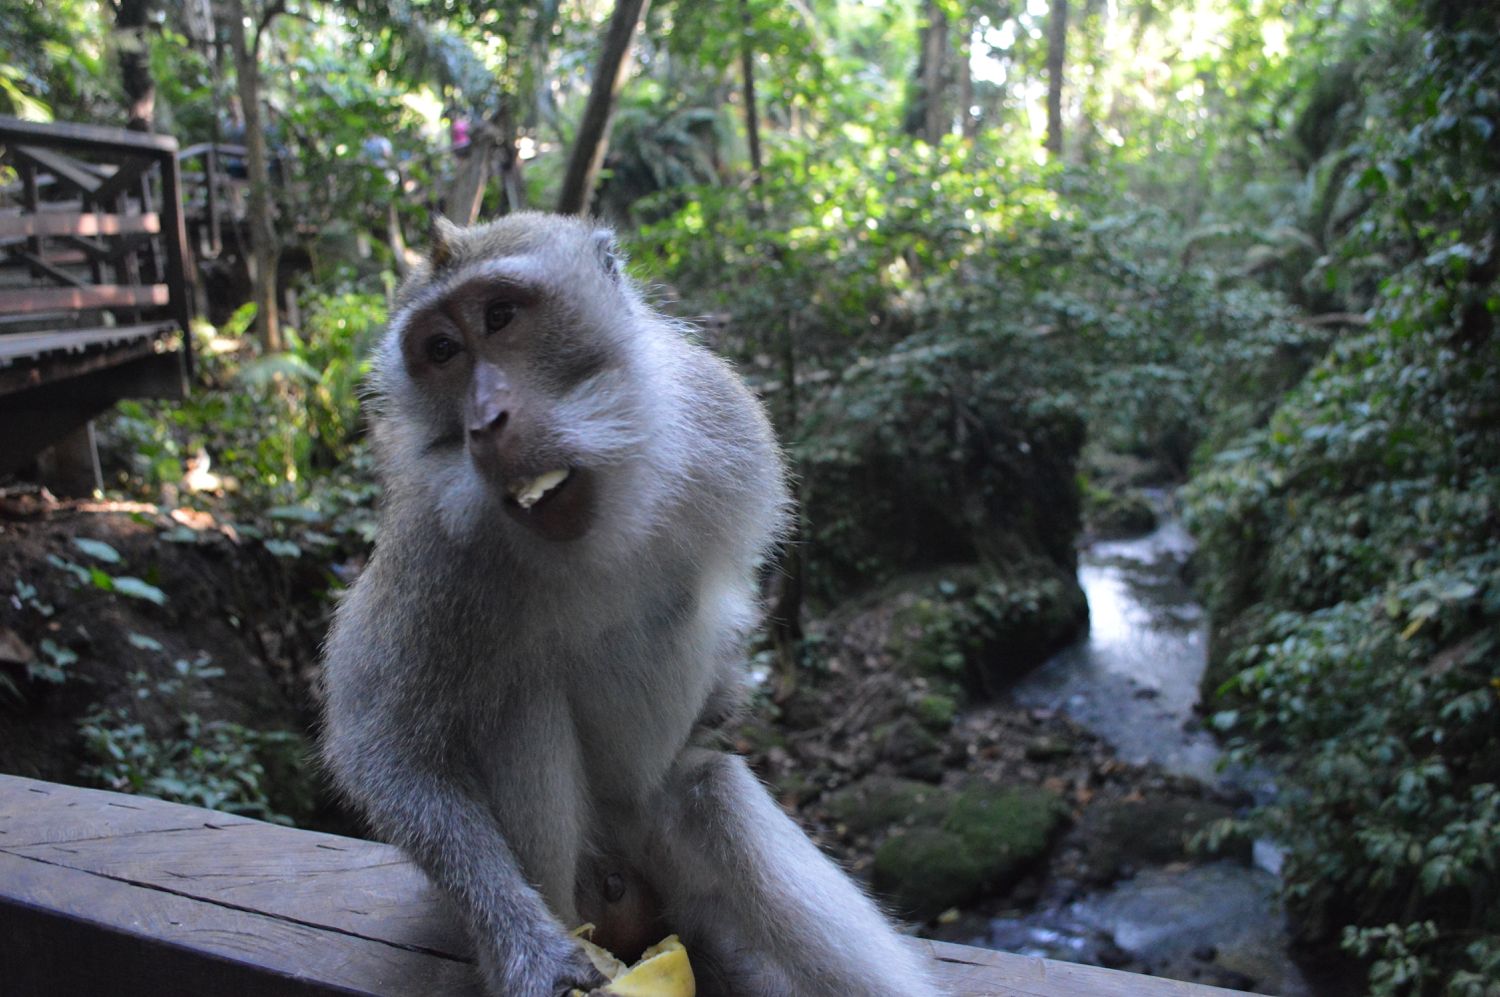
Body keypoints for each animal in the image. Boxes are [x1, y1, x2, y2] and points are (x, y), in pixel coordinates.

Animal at [322, 215, 942, 995]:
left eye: (500, 316)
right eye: (440, 351)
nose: (484, 421)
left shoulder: (728, 429)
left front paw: (725, 695)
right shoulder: (433, 549)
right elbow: (385, 745)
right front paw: (530, 948)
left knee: (710, 794)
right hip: (588, 873)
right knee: (520, 701)